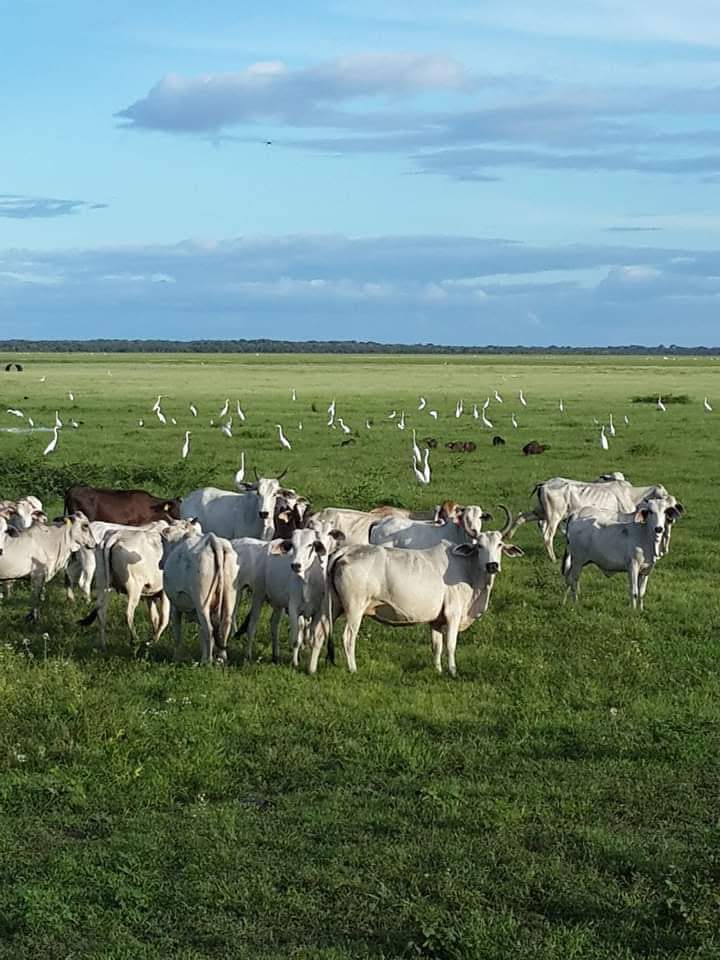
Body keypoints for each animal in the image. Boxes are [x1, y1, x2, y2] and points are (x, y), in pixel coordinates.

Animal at [160, 524, 239, 660]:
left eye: (162, 541)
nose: (160, 563)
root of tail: (212, 540)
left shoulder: (175, 606)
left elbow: (177, 632)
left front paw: (176, 657)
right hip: (229, 595)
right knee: (224, 625)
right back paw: (220, 658)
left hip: (201, 601)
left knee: (209, 629)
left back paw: (208, 661)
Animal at [316, 510, 524, 676]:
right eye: (479, 546)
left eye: (499, 545)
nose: (492, 565)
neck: (468, 569)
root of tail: (344, 552)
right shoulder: (453, 614)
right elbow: (450, 645)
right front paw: (452, 671)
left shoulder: (436, 621)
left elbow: (436, 646)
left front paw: (438, 670)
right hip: (354, 609)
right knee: (348, 637)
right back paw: (353, 668)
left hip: (333, 607)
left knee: (320, 632)